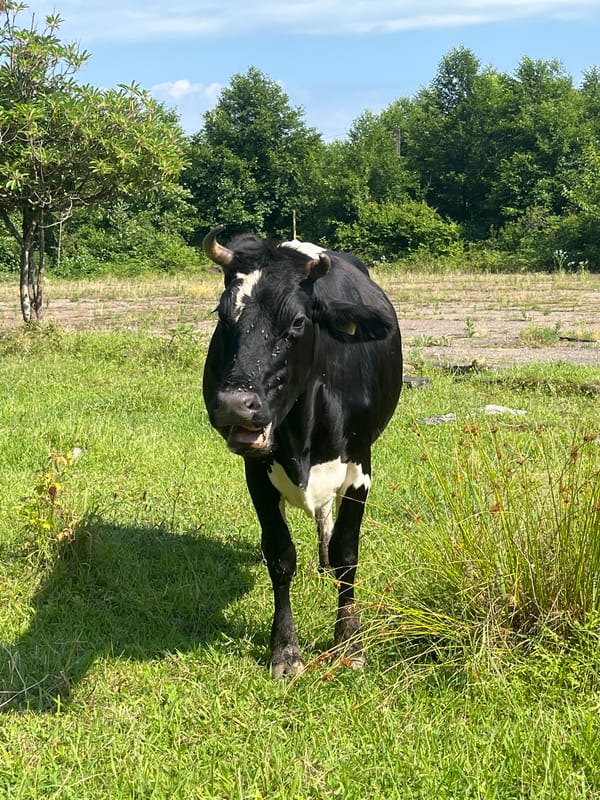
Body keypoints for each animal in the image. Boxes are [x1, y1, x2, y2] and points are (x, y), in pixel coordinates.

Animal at [202, 226, 402, 677]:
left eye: (297, 321)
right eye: (223, 316)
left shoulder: (360, 469)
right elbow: (280, 556)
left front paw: (349, 640)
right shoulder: (257, 476)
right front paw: (285, 649)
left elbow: (348, 554)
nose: (235, 405)